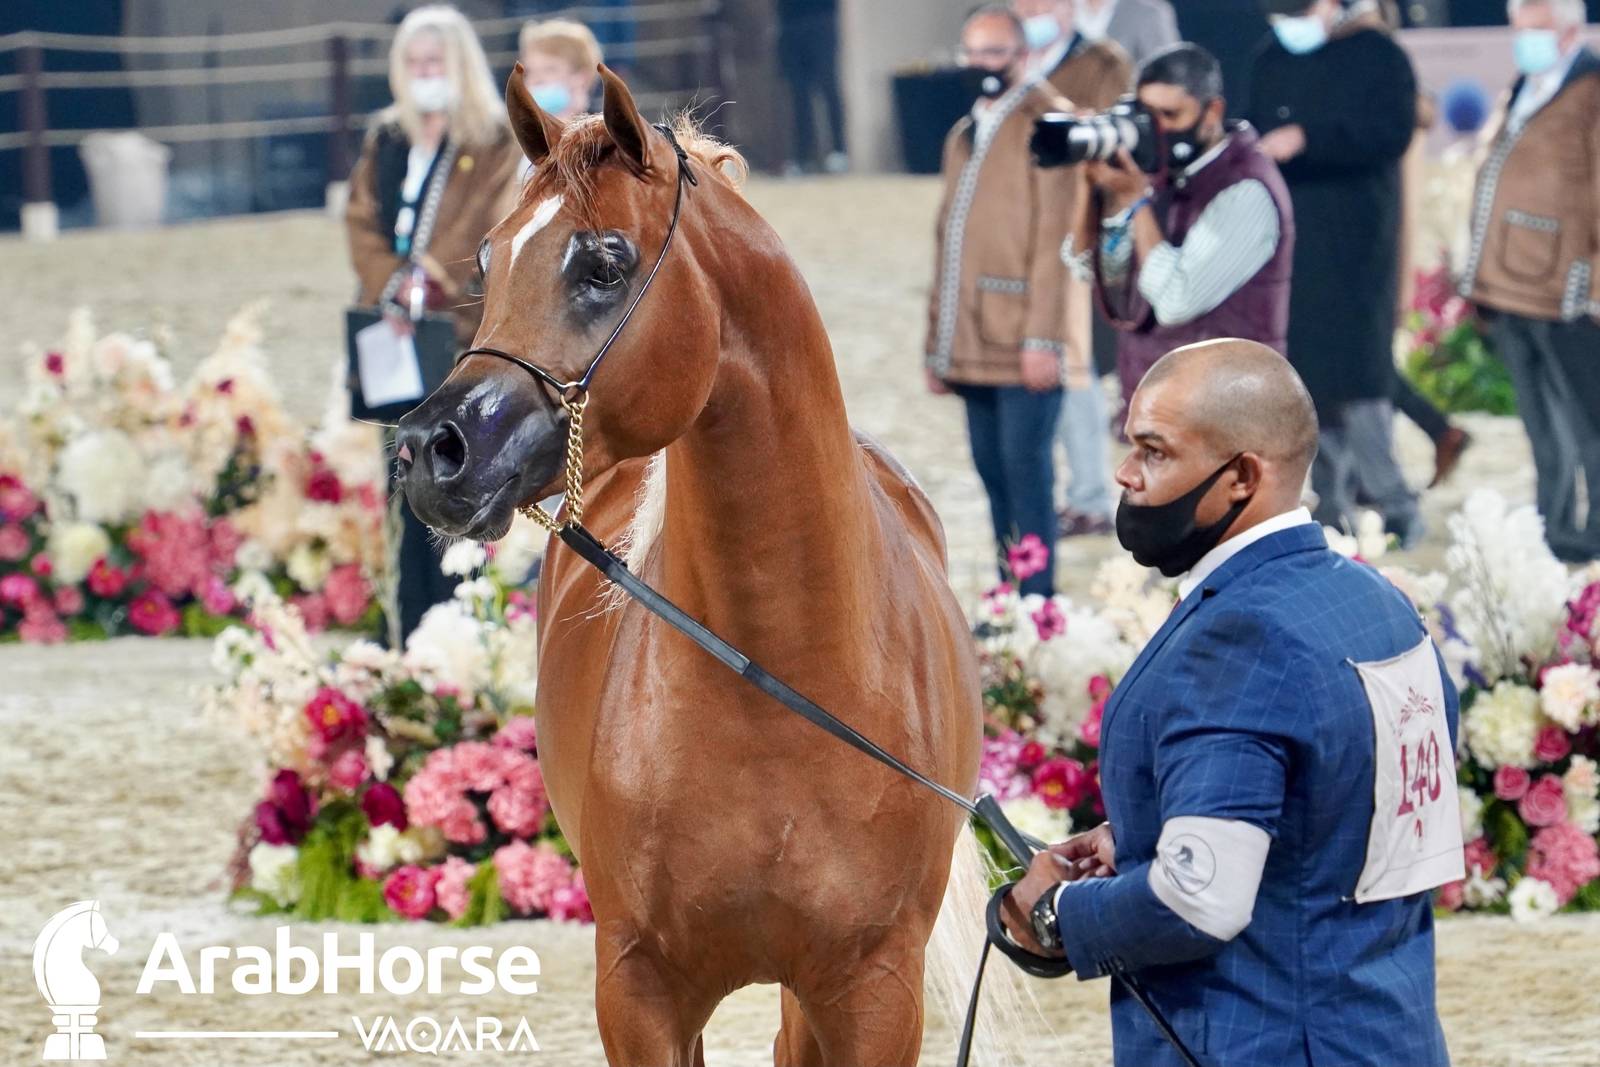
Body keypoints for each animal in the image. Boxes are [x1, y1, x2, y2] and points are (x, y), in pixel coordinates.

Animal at [397, 65, 1020, 1066]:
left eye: (604, 264)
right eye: (488, 262)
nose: (431, 450)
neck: (780, 680)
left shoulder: (875, 993)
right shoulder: (640, 988)